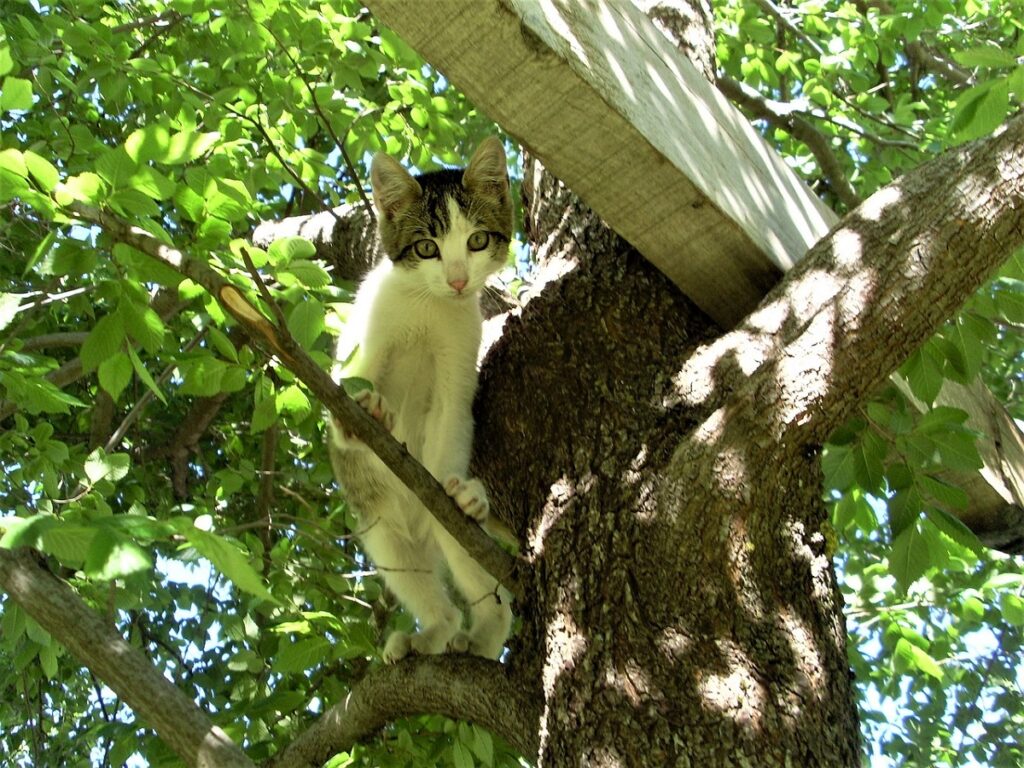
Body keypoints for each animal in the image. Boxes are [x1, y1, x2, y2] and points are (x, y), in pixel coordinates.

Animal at [329, 137, 512, 663]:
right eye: (427, 248)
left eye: (476, 241)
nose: (457, 281)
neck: (429, 307)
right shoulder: (364, 338)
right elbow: (347, 382)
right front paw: (360, 415)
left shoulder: (457, 364)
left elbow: (453, 416)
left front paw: (462, 492)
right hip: (381, 531)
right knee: (421, 583)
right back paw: (429, 632)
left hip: (453, 539)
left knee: (492, 596)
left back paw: (480, 635)